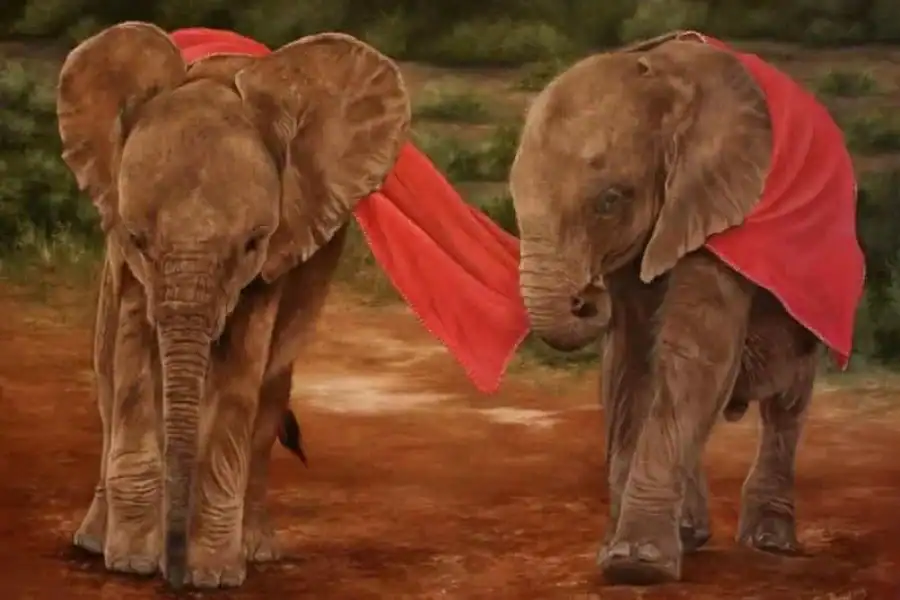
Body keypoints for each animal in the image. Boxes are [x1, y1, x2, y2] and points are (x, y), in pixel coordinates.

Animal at [57, 22, 410, 589]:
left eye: (251, 244)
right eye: (137, 238)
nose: (173, 577)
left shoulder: (279, 251)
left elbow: (242, 379)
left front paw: (213, 576)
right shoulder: (127, 261)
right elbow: (132, 361)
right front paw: (131, 565)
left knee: (268, 397)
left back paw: (258, 550)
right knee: (108, 374)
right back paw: (93, 541)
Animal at [508, 31, 859, 585]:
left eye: (611, 200)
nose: (586, 295)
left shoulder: (723, 201)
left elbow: (694, 351)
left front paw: (636, 566)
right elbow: (631, 359)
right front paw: (622, 552)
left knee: (787, 401)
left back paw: (771, 543)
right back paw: (693, 535)